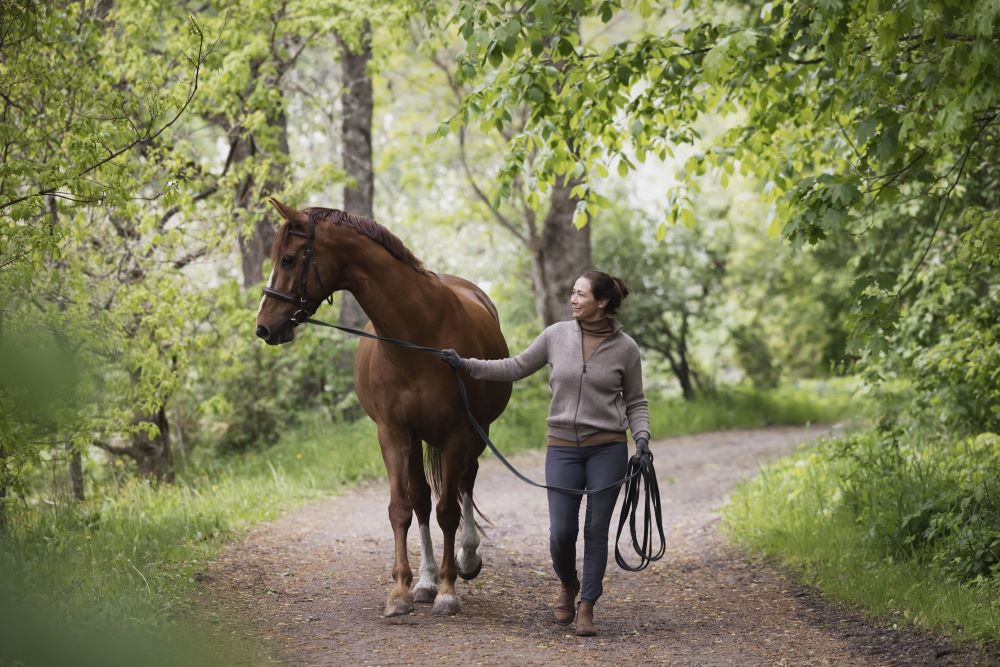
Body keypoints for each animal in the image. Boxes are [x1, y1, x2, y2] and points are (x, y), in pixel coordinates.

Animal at [254, 200, 512, 620]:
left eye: (288, 259)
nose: (263, 327)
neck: (419, 334)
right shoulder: (393, 432)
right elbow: (402, 508)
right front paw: (402, 591)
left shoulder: (458, 433)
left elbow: (448, 511)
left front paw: (448, 591)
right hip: (418, 438)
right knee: (423, 499)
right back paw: (425, 581)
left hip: (477, 432)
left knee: (464, 484)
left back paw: (467, 558)